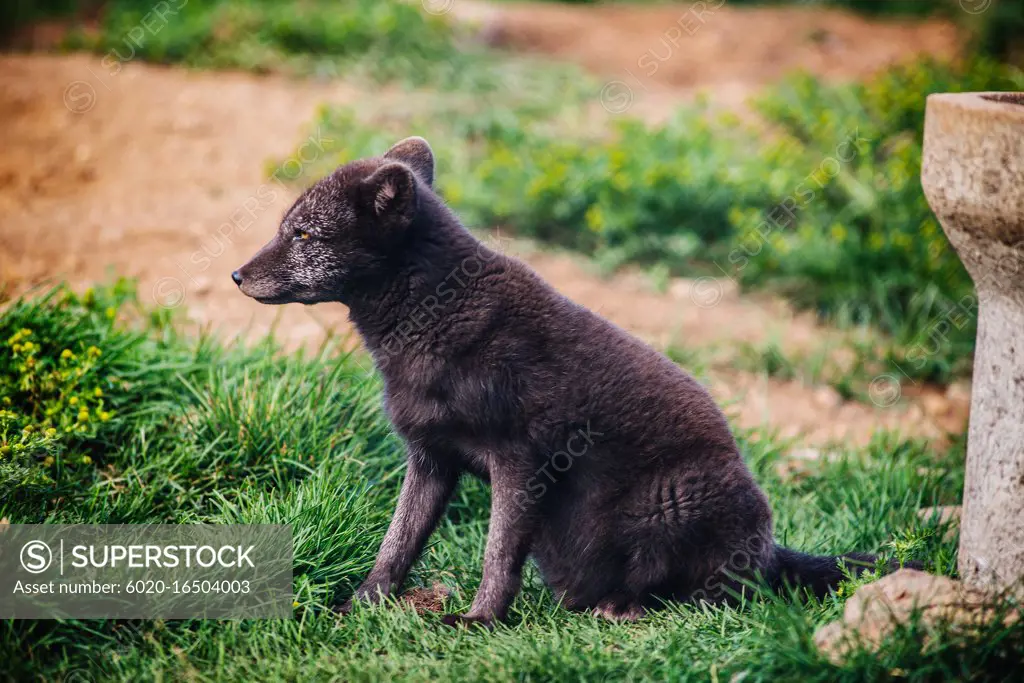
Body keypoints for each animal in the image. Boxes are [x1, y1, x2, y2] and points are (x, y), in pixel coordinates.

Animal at [232, 136, 880, 626]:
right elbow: (397, 545)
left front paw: (478, 622)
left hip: (673, 504)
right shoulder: (430, 458)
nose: (237, 275)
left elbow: (498, 555)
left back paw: (626, 608)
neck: (436, 316)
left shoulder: (521, 459)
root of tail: (767, 549)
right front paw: (357, 607)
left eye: (303, 235)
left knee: (715, 598)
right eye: (287, 229)